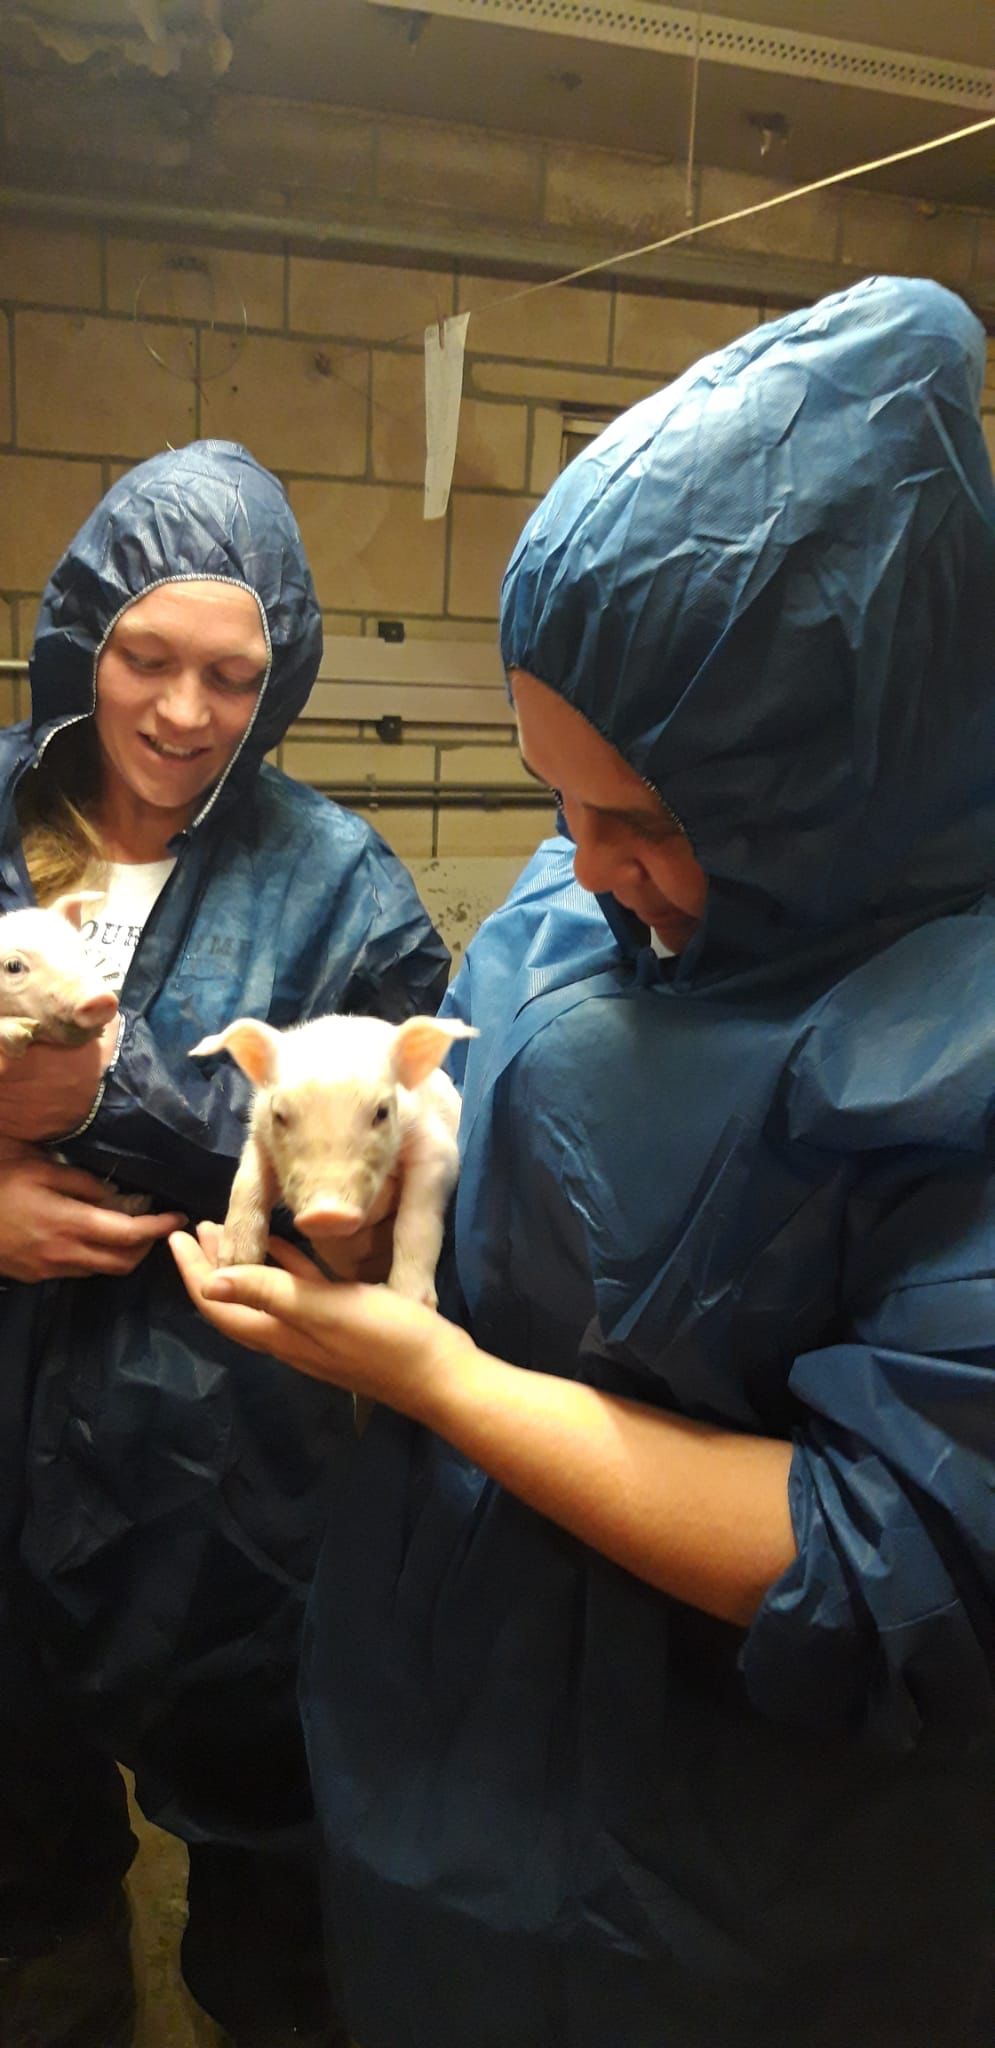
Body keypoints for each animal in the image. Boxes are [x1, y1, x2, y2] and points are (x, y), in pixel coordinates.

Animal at [190, 1012, 477, 1305]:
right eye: (279, 1115)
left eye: (382, 1112)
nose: (326, 1213)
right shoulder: (258, 1132)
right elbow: (247, 1182)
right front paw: (235, 1263)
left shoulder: (438, 1146)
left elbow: (417, 1219)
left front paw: (409, 1299)